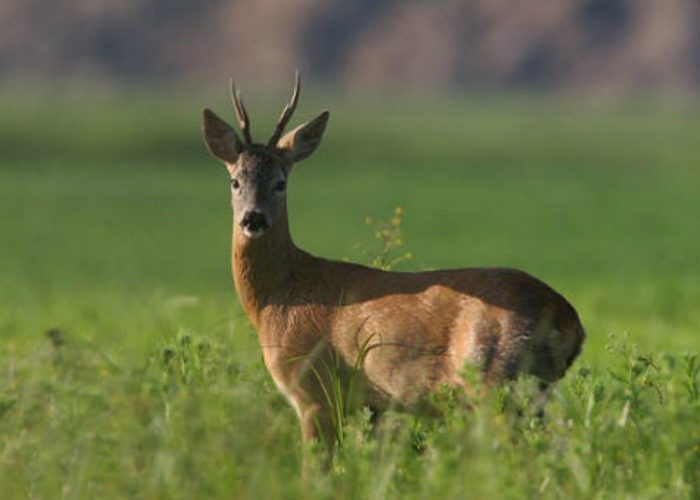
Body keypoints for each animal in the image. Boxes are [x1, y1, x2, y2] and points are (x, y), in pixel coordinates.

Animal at [201, 73, 584, 454]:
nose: (253, 219)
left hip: (495, 379)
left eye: (281, 183)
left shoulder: (314, 392)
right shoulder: (374, 406)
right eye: (235, 181)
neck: (281, 296)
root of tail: (569, 320)